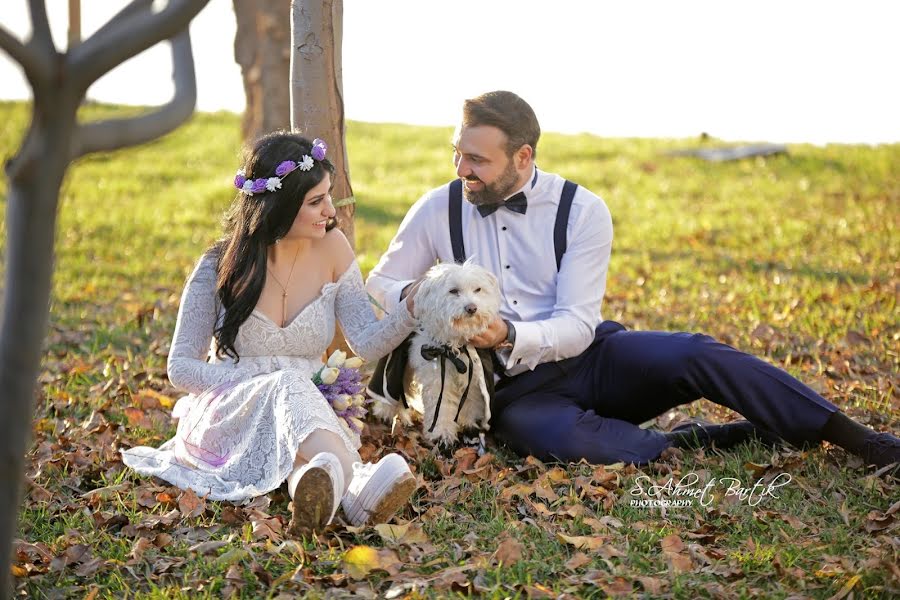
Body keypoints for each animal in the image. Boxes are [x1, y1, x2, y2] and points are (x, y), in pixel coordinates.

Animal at [370, 262, 500, 446]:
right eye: (453, 291)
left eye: (478, 289)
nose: (472, 308)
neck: (453, 346)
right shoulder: (438, 378)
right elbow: (441, 407)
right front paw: (442, 435)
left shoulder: (473, 379)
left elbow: (470, 402)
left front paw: (469, 424)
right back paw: (388, 415)